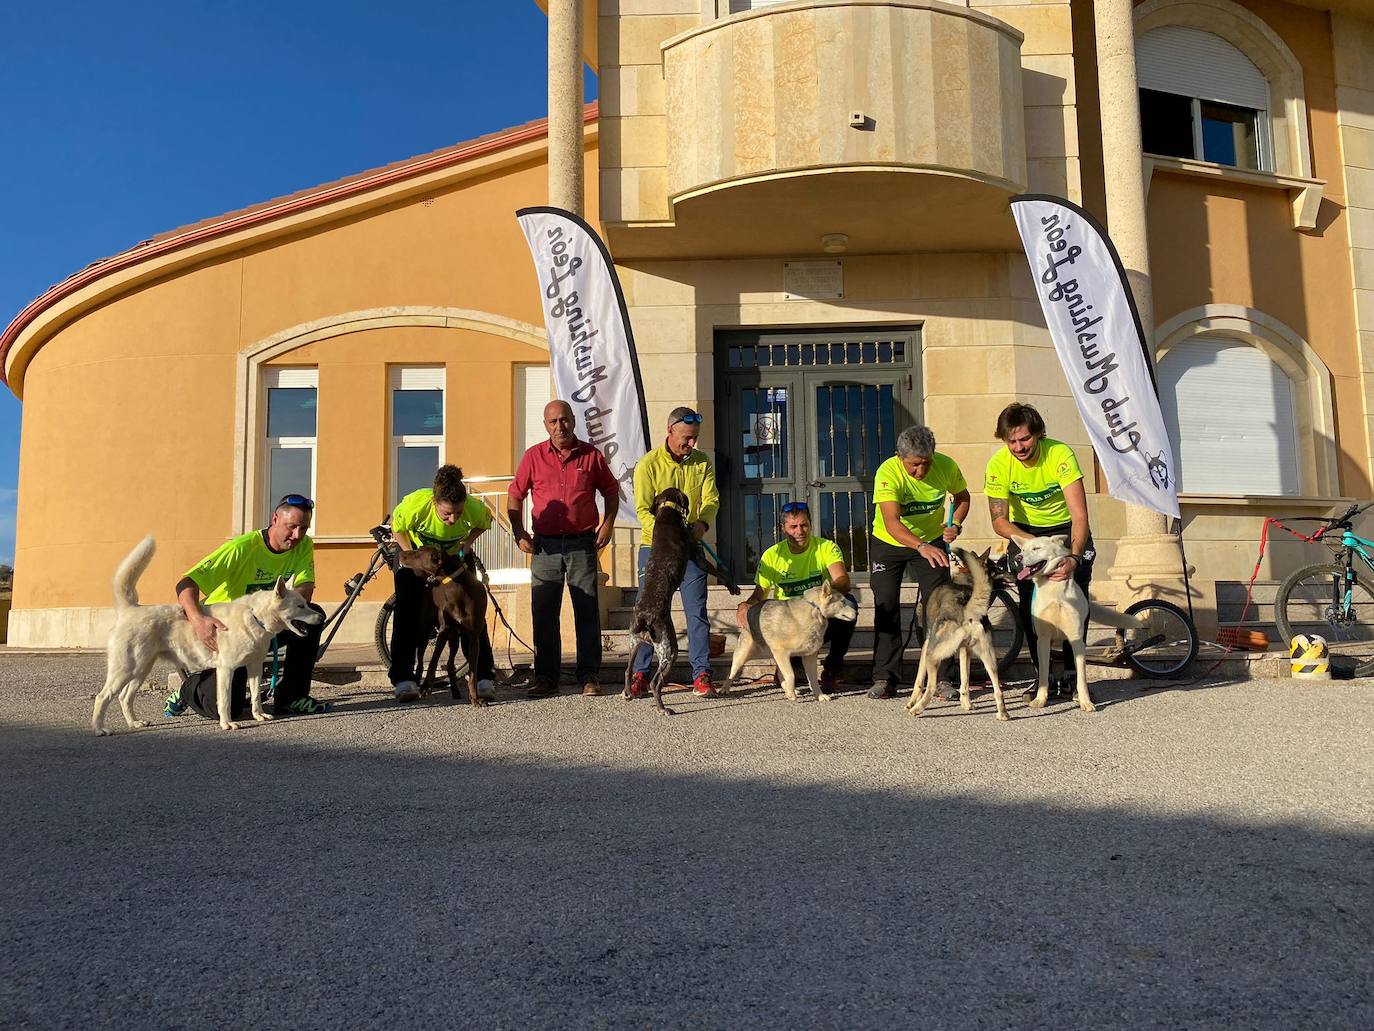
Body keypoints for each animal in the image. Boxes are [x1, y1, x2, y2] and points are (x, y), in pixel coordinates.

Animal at [94, 536, 324, 736]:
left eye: (305, 603)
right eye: (299, 606)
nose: (321, 617)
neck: (255, 617)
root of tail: (130, 609)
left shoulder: (255, 667)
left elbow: (256, 696)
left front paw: (259, 715)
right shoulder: (226, 669)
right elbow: (225, 702)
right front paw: (227, 724)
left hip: (141, 670)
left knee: (124, 697)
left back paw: (134, 723)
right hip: (126, 669)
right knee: (102, 697)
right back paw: (99, 729)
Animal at [395, 544, 491, 709]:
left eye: (417, 553)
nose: (401, 554)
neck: (457, 587)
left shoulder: (473, 639)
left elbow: (473, 673)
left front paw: (476, 698)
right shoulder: (443, 631)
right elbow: (433, 661)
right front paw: (426, 686)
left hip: (454, 638)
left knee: (450, 664)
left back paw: (456, 692)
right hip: (425, 632)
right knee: (421, 662)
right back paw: (416, 685)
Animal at [719, 582, 857, 703]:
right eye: (843, 602)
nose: (856, 612)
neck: (814, 610)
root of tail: (751, 609)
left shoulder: (808, 656)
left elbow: (812, 679)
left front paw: (819, 695)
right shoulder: (782, 653)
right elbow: (791, 675)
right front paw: (791, 694)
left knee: (781, 675)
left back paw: (790, 689)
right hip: (744, 655)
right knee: (731, 672)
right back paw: (724, 689)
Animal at [906, 544, 1016, 720]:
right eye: (999, 569)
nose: (1016, 576)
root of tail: (966, 608)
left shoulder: (925, 646)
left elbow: (918, 681)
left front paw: (910, 702)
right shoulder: (966, 651)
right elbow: (965, 680)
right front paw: (966, 705)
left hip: (932, 655)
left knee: (930, 687)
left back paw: (916, 709)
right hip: (990, 660)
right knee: (998, 690)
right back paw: (1003, 714)